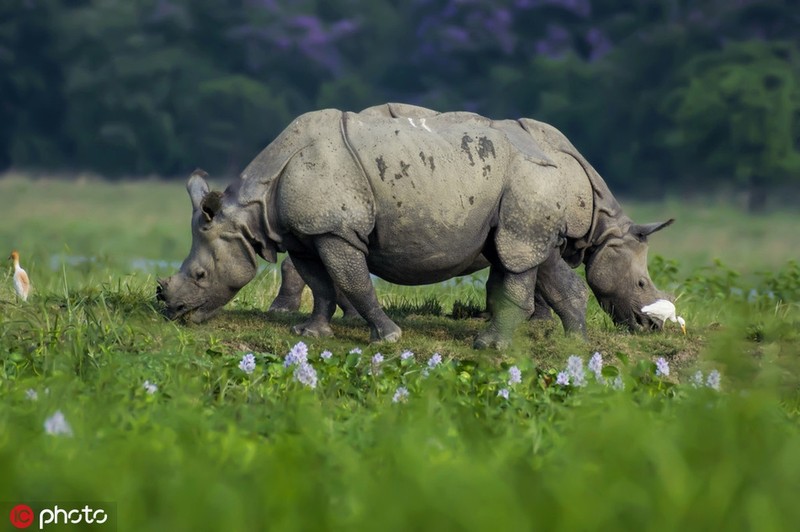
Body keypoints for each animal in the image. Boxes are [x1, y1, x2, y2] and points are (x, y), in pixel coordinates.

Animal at [156, 103, 676, 350]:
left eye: (200, 276)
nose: (173, 311)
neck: (254, 209)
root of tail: (549, 158)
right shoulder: (307, 233)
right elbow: (322, 282)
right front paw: (312, 333)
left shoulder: (331, 229)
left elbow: (351, 280)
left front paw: (387, 337)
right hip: (530, 187)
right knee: (531, 258)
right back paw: (573, 343)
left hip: (527, 182)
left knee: (520, 258)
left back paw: (496, 346)